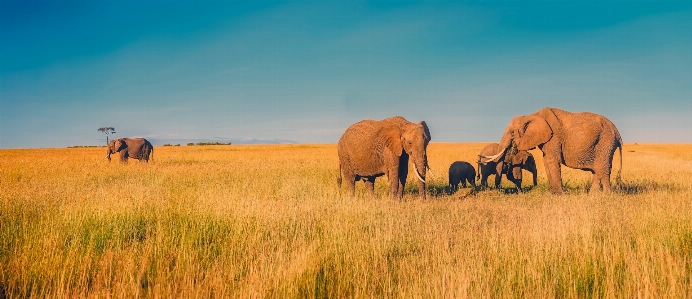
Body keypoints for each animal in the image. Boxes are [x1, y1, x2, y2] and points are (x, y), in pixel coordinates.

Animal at [482, 108, 620, 195]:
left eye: (511, 133)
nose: (499, 189)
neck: (532, 115)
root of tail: (617, 132)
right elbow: (546, 161)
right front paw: (553, 193)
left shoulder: (554, 137)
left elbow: (551, 160)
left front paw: (559, 195)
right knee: (597, 169)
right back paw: (592, 195)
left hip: (606, 141)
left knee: (603, 168)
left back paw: (606, 196)